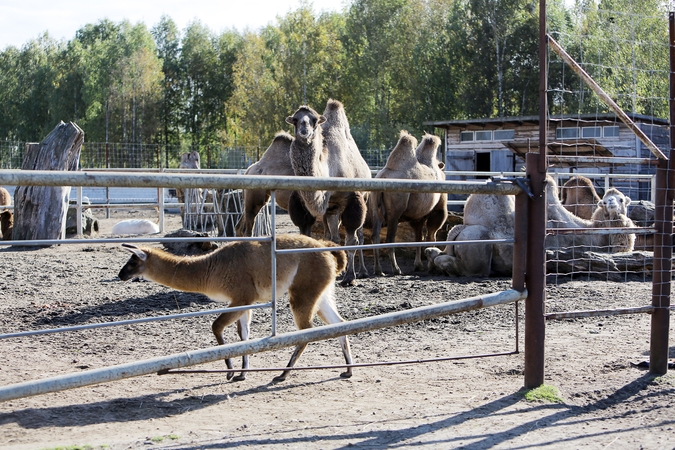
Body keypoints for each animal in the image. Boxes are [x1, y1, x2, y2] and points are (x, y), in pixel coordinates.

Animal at [284, 100, 370, 286]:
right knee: (332, 236)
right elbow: (307, 237)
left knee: (359, 236)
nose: (304, 130)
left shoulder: (353, 198)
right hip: (332, 209)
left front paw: (349, 277)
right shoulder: (301, 203)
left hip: (365, 199)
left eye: (314, 120)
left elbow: (352, 240)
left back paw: (362, 271)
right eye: (295, 120)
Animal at [370, 132, 448, 276]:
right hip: (395, 212)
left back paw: (378, 270)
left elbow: (418, 238)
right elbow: (431, 236)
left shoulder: (417, 215)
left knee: (375, 236)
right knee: (390, 238)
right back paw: (396, 269)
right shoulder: (438, 209)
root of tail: (382, 176)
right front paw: (431, 266)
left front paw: (419, 265)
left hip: (374, 207)